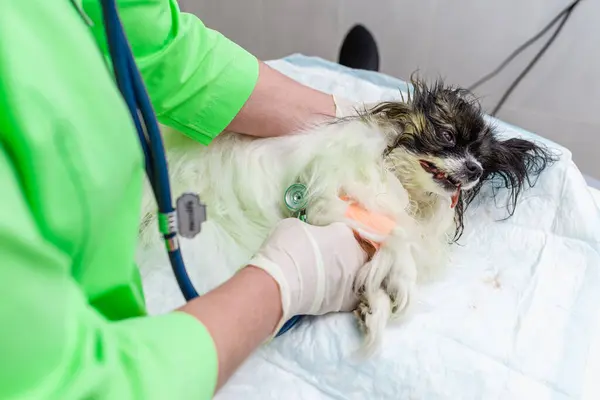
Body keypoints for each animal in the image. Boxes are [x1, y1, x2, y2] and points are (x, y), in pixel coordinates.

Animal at [138, 78, 556, 354]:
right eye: (448, 136)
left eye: (482, 162)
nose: (473, 170)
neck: (405, 184)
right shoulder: (328, 192)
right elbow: (397, 236)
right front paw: (397, 284)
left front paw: (372, 305)